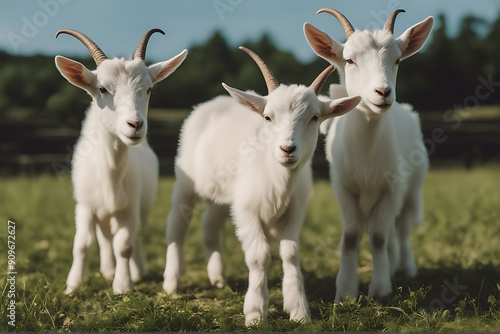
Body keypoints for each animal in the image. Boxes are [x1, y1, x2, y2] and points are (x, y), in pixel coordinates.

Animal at [55, 30, 188, 294]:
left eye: (149, 89)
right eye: (102, 89)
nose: (135, 125)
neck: (109, 172)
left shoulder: (129, 206)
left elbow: (124, 245)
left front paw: (124, 284)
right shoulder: (85, 204)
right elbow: (82, 243)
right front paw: (73, 284)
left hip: (139, 207)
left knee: (128, 237)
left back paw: (135, 271)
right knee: (104, 237)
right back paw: (107, 269)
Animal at [162, 45, 362, 324]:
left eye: (314, 117)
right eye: (267, 117)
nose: (287, 149)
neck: (276, 178)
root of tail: (214, 102)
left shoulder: (294, 212)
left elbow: (290, 254)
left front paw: (298, 310)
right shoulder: (247, 212)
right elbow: (259, 256)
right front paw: (255, 312)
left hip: (225, 194)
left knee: (210, 223)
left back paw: (217, 278)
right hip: (186, 182)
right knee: (177, 225)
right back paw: (171, 284)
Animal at [304, 9, 434, 302]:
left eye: (397, 60)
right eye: (349, 60)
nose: (383, 92)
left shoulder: (392, 189)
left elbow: (377, 236)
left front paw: (380, 288)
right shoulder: (344, 188)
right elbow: (352, 236)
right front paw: (345, 291)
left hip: (412, 189)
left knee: (401, 229)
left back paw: (405, 267)